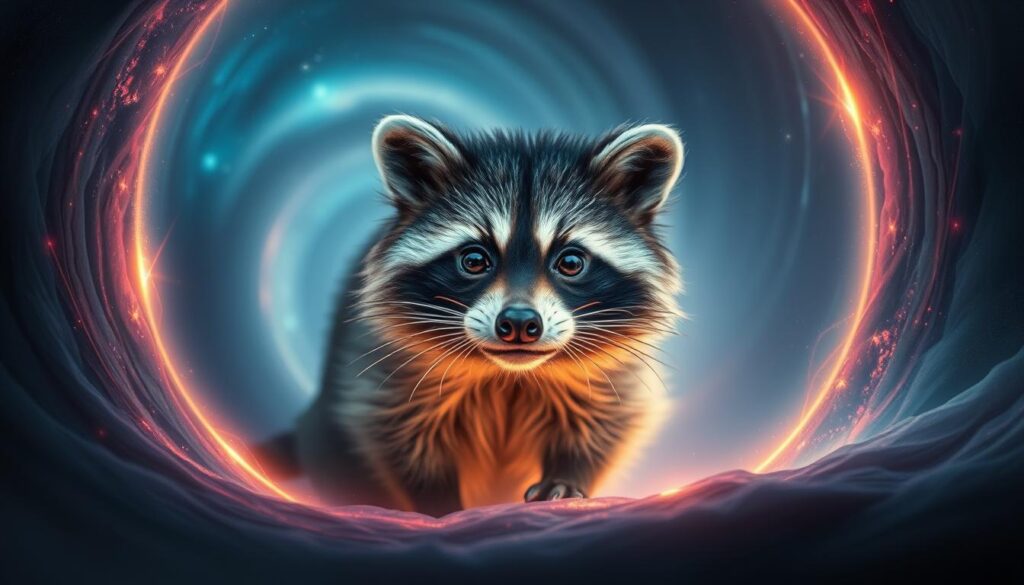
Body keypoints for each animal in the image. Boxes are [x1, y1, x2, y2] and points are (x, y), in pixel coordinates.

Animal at [258, 115, 684, 516]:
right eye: (475, 260)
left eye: (571, 262)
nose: (519, 324)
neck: (509, 376)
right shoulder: (384, 372)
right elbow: (400, 438)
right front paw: (438, 501)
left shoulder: (609, 378)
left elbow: (603, 426)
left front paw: (567, 476)